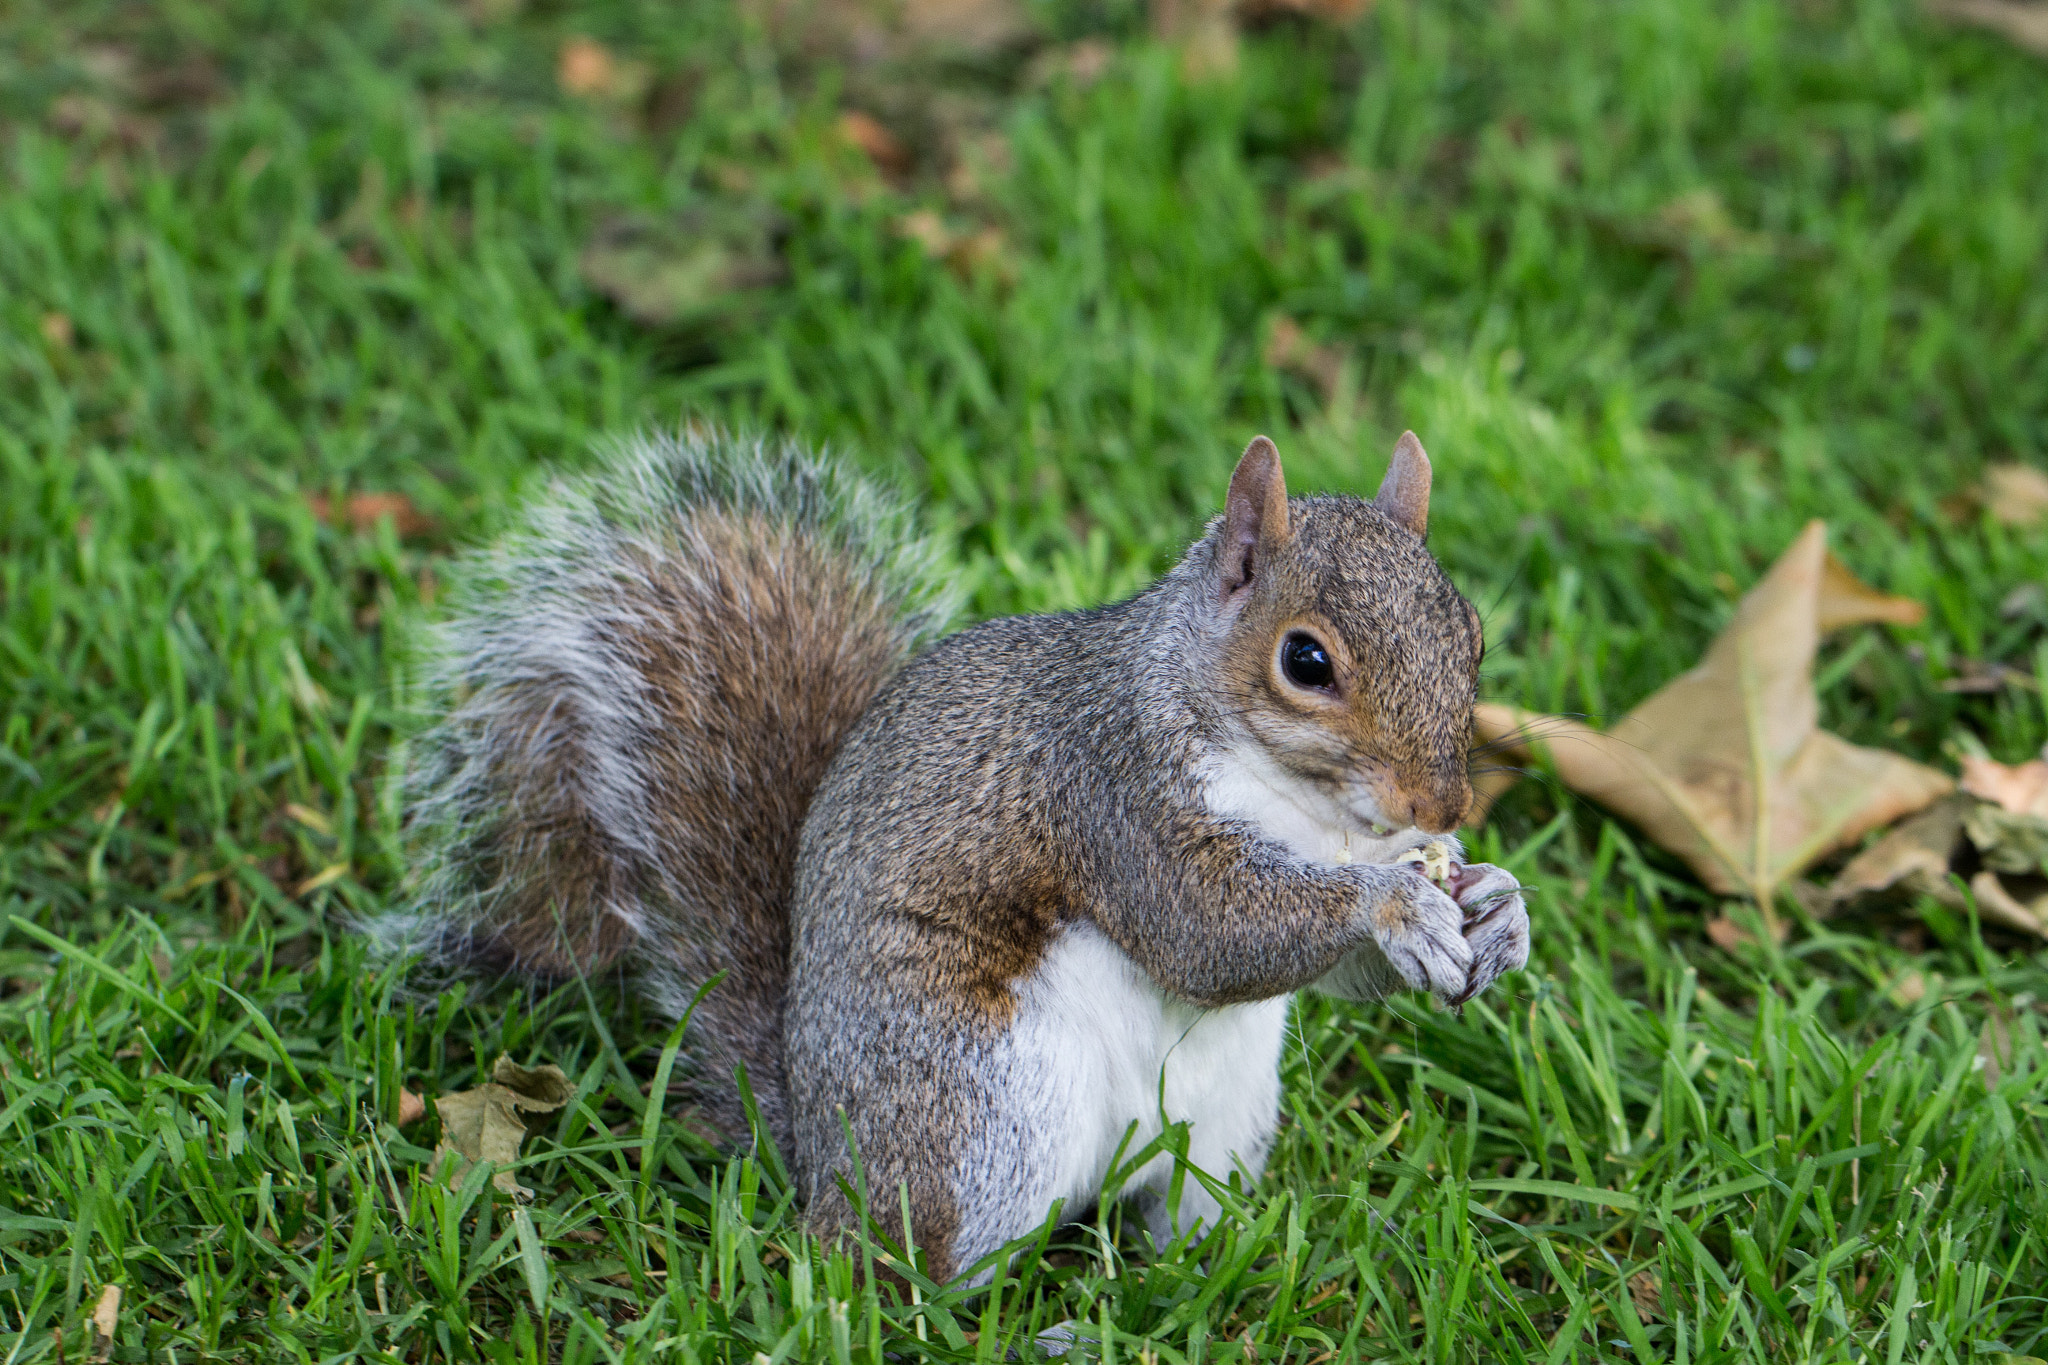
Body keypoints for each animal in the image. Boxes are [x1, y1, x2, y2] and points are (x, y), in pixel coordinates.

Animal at [391, 427, 1531, 1285]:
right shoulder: (1112, 796)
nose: (1441, 800)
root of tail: (822, 1168)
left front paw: (1495, 906)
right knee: (915, 1278)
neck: (1307, 813)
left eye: (1470, 633)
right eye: (1305, 660)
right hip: (982, 1114)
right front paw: (1392, 904)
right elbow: (1206, 933)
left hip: (1220, 1123)